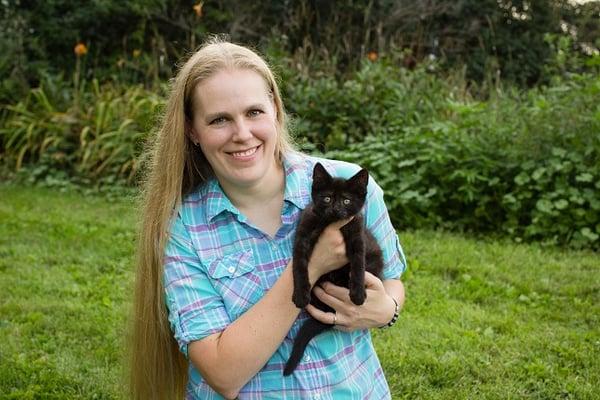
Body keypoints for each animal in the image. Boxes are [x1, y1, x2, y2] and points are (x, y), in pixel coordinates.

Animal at [284, 162, 386, 376]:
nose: (336, 208)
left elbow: (358, 265)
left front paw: (358, 293)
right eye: (327, 198)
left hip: (375, 259)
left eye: (347, 200)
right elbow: (299, 266)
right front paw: (300, 294)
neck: (330, 224)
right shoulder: (302, 237)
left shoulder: (358, 236)